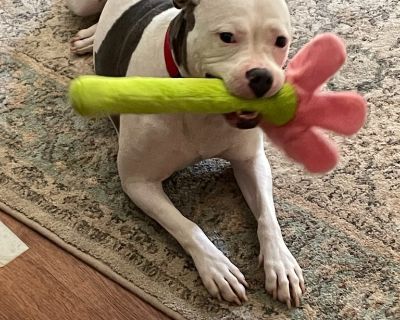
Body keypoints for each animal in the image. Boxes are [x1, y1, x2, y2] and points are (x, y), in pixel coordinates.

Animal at [69, 0, 304, 308]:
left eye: (280, 41)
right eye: (227, 36)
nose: (263, 77)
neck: (201, 105)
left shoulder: (250, 161)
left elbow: (267, 216)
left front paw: (281, 263)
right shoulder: (138, 183)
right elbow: (186, 225)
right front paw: (217, 267)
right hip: (80, 6)